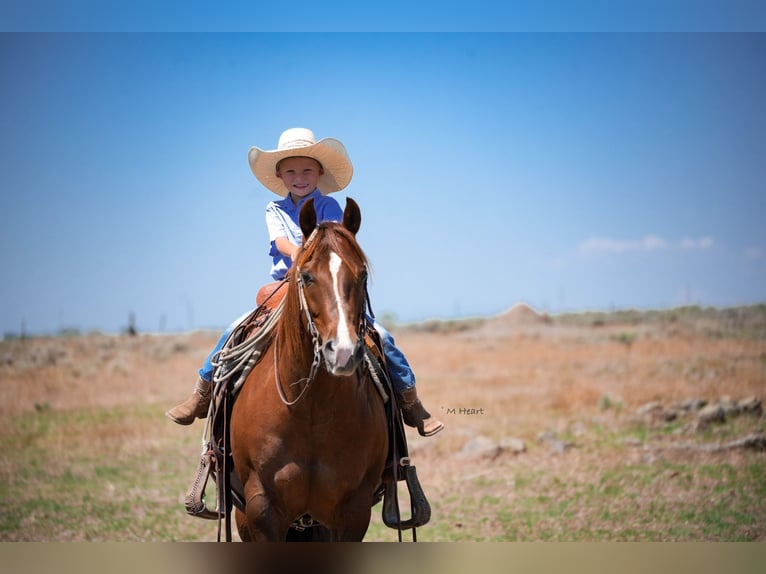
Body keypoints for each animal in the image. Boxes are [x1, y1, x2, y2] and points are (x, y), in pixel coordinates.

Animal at [230, 197, 389, 541]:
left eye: (362, 275)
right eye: (306, 276)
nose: (343, 352)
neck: (311, 408)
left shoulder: (353, 512)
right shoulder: (261, 510)